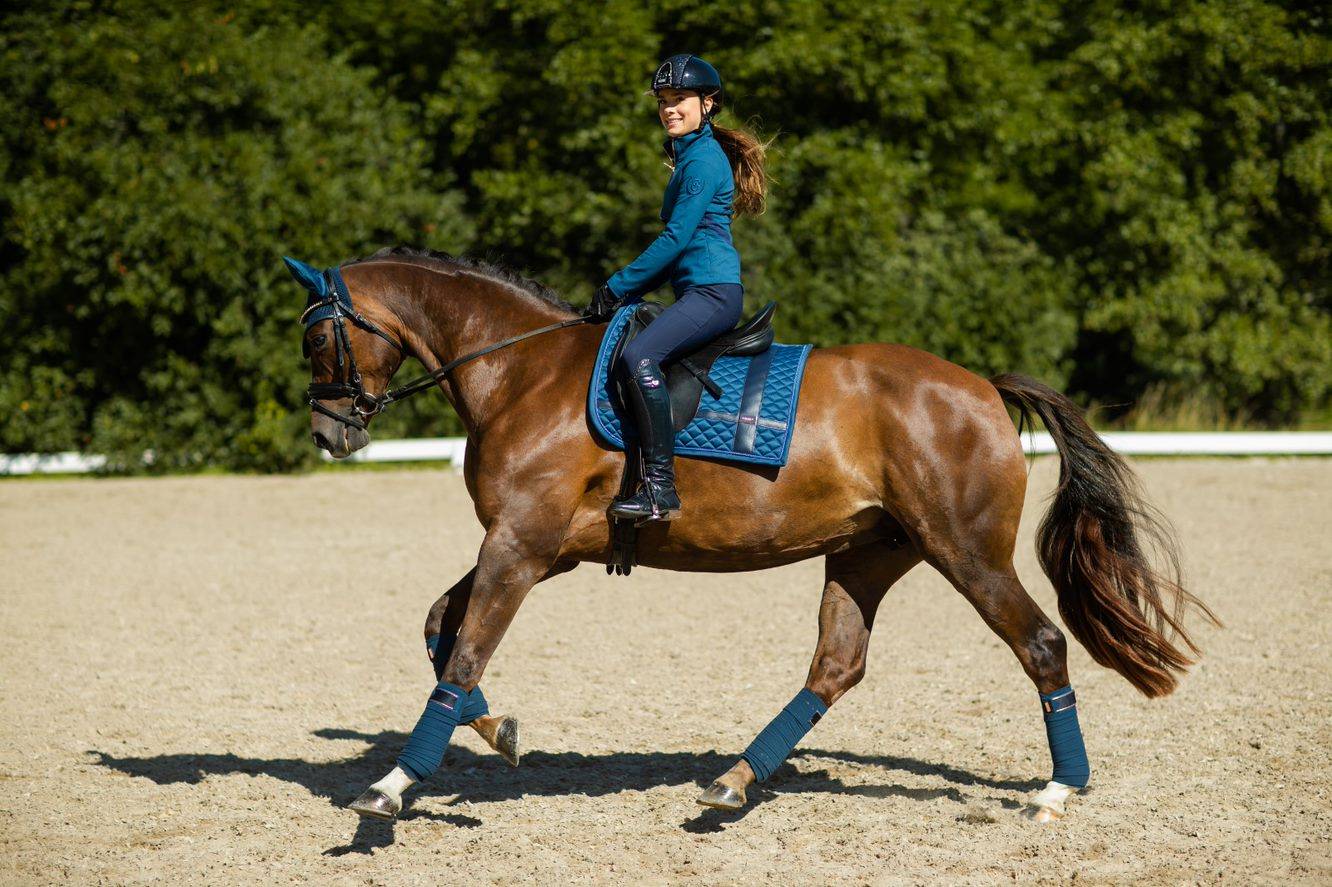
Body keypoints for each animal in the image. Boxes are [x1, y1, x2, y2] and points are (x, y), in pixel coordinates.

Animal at [289, 243, 1220, 820]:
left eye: (316, 336)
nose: (330, 435)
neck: (520, 367)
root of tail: (983, 387)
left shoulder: (521, 544)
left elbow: (466, 648)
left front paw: (392, 783)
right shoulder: (544, 548)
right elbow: (442, 628)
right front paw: (499, 733)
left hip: (966, 551)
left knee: (1041, 644)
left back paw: (1059, 790)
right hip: (868, 553)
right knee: (837, 665)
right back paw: (733, 782)